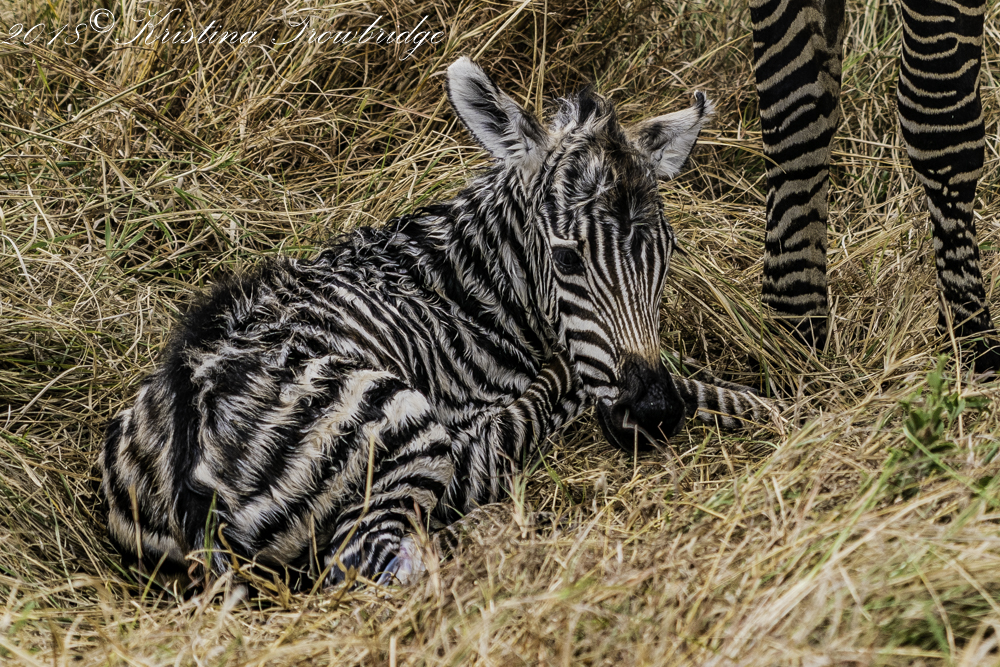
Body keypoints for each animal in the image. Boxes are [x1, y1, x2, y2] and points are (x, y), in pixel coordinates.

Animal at [99, 57, 777, 590]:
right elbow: (580, 382)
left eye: (668, 253)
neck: (471, 294)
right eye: (566, 259)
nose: (654, 414)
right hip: (393, 417)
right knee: (386, 555)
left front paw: (762, 409)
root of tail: (183, 445)